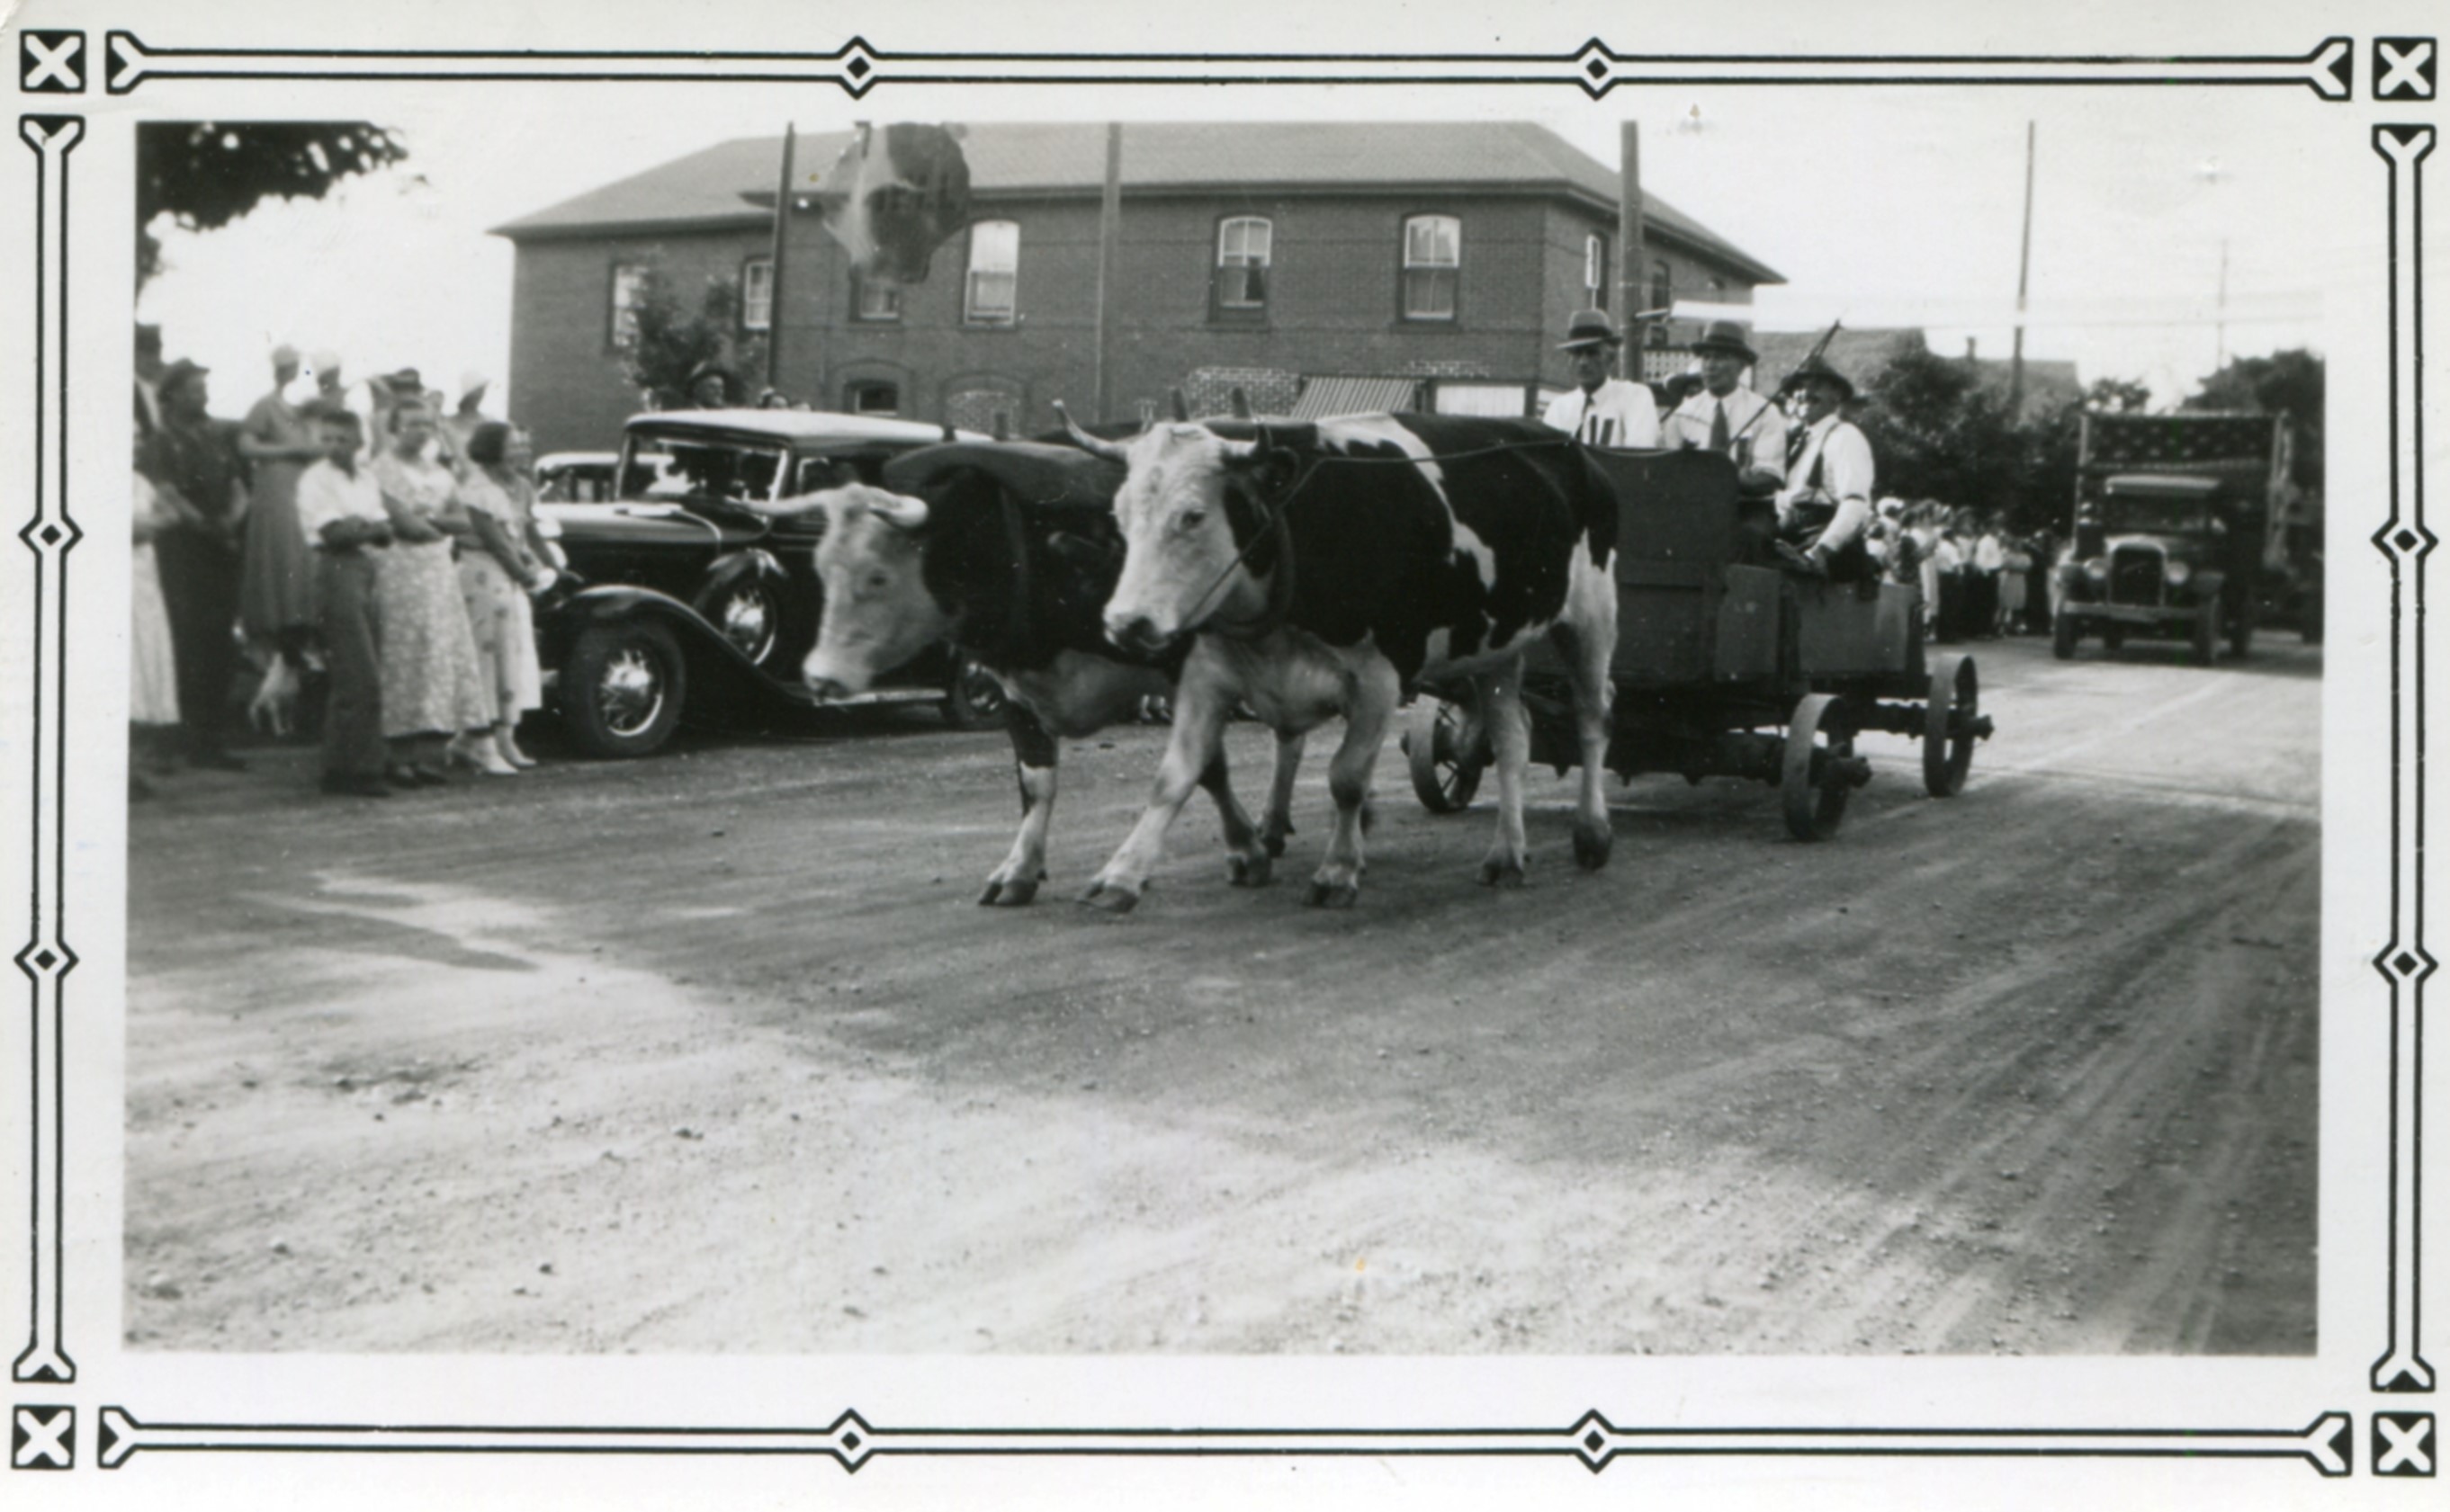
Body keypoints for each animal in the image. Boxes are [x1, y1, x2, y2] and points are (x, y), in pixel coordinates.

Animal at [794, 441, 1304, 905]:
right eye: (820, 567)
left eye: (877, 575)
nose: (820, 676)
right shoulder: (1016, 687)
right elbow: (1036, 782)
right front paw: (1019, 868)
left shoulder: (1187, 672)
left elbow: (1207, 768)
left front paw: (1243, 851)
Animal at [1062, 411, 1620, 910]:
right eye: (1119, 515)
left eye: (1193, 515)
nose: (1125, 623)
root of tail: (1566, 442)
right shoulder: (1206, 673)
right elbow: (1175, 776)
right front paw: (1120, 874)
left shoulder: (1379, 677)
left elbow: (1347, 778)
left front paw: (1337, 871)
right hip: (1497, 645)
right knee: (1511, 739)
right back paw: (1506, 853)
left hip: (1592, 617)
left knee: (1592, 720)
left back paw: (1591, 832)